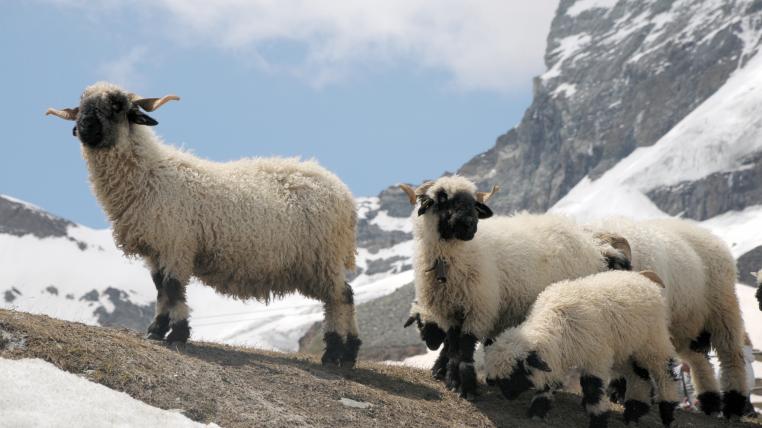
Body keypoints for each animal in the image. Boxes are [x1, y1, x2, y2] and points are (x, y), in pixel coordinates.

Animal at [46, 82, 361, 367]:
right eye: (82, 106)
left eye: (117, 106)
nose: (85, 127)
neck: (149, 175)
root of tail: (344, 194)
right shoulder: (156, 247)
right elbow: (160, 288)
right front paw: (157, 330)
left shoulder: (177, 242)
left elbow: (173, 287)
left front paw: (178, 334)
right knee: (341, 295)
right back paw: (347, 354)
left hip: (324, 255)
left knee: (340, 297)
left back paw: (336, 353)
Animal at [398, 176, 630, 398]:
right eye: (442, 199)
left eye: (473, 203)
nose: (469, 225)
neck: (450, 260)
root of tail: (593, 246)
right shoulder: (450, 313)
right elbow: (453, 348)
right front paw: (453, 381)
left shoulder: (479, 309)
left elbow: (463, 349)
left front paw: (466, 387)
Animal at [484, 270, 679, 428]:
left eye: (516, 371)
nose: (507, 395)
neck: (557, 319)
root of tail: (642, 278)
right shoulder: (558, 356)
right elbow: (549, 382)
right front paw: (538, 410)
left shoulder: (596, 358)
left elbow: (593, 390)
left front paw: (598, 421)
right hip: (627, 348)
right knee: (639, 375)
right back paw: (634, 411)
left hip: (654, 341)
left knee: (665, 372)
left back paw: (667, 413)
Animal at [588, 217, 748, 418]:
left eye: (610, 261)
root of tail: (707, 234)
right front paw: (617, 391)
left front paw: (632, 395)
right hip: (685, 328)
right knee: (699, 362)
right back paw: (710, 402)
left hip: (723, 311)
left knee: (731, 356)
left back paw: (734, 404)